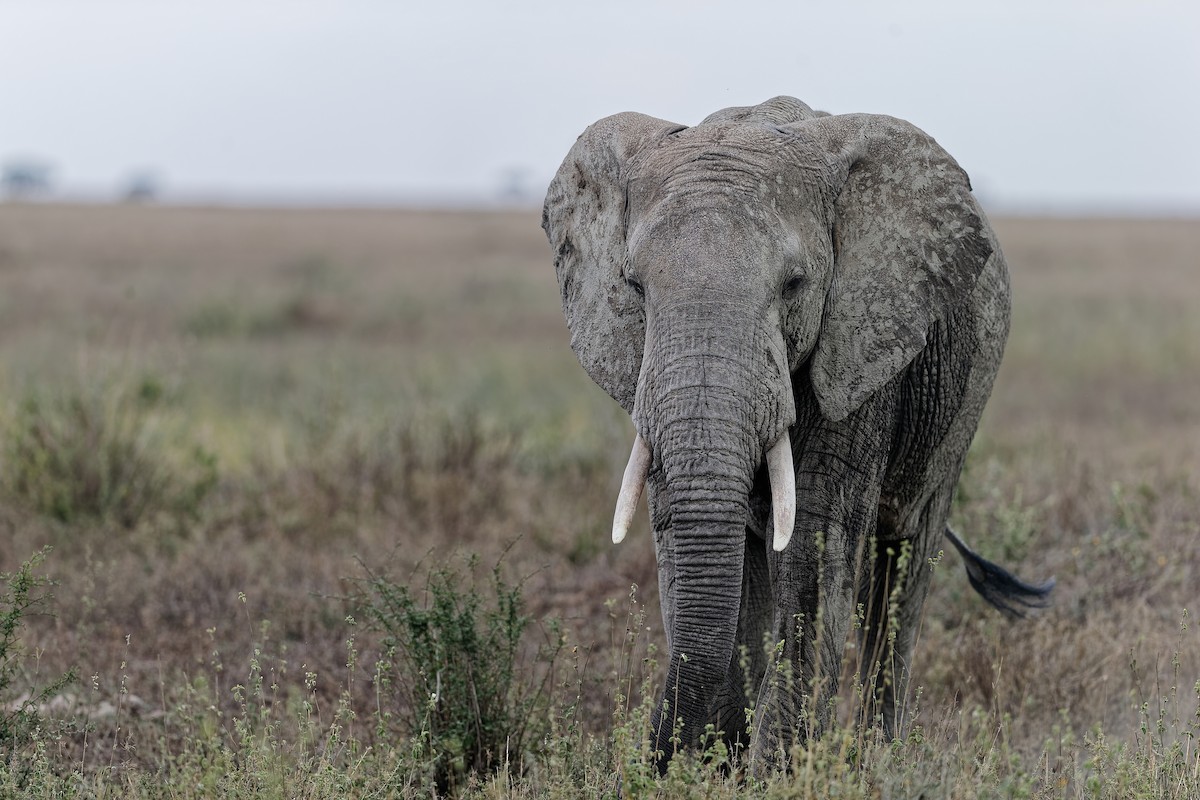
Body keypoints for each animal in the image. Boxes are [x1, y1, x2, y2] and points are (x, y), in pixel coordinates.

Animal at [542, 96, 1053, 772]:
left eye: (794, 285)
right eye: (634, 287)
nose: (648, 761)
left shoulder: (861, 344)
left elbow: (814, 541)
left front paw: (776, 772)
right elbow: (681, 534)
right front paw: (716, 768)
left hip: (966, 399)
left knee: (905, 555)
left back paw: (877, 757)